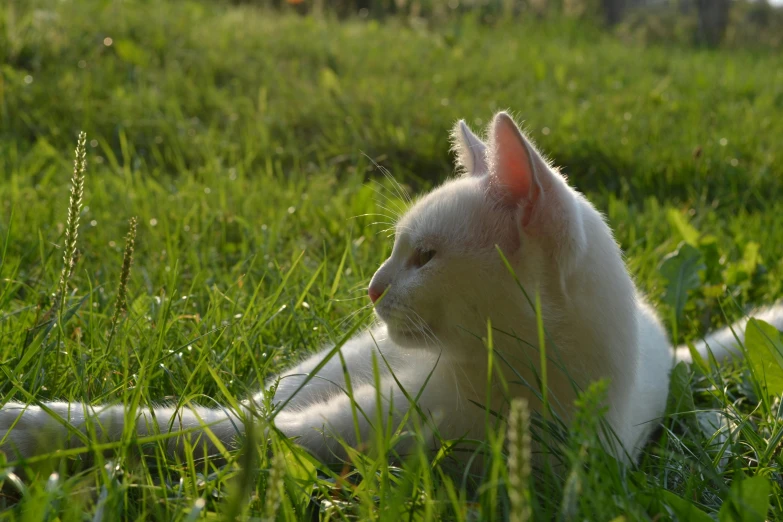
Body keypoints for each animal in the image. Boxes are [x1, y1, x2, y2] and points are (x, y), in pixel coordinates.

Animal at [1, 110, 783, 464]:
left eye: (425, 256)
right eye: (399, 248)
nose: (373, 289)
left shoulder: (348, 443)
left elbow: (209, 434)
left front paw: (42, 428)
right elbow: (203, 423)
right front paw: (41, 421)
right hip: (334, 367)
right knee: (258, 399)